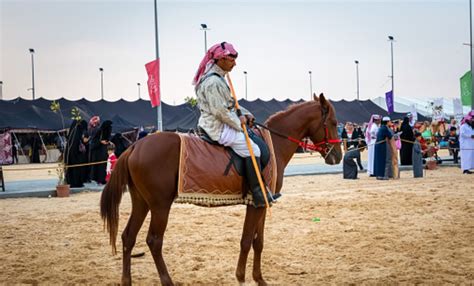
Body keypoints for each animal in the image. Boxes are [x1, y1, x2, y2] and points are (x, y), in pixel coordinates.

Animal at [102, 93, 342, 284]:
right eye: (332, 122)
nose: (338, 155)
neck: (273, 143)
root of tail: (135, 146)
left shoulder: (262, 204)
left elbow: (258, 242)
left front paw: (259, 278)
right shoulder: (256, 204)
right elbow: (246, 240)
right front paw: (241, 277)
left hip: (142, 202)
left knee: (128, 237)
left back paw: (126, 280)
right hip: (160, 205)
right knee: (154, 241)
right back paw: (167, 280)